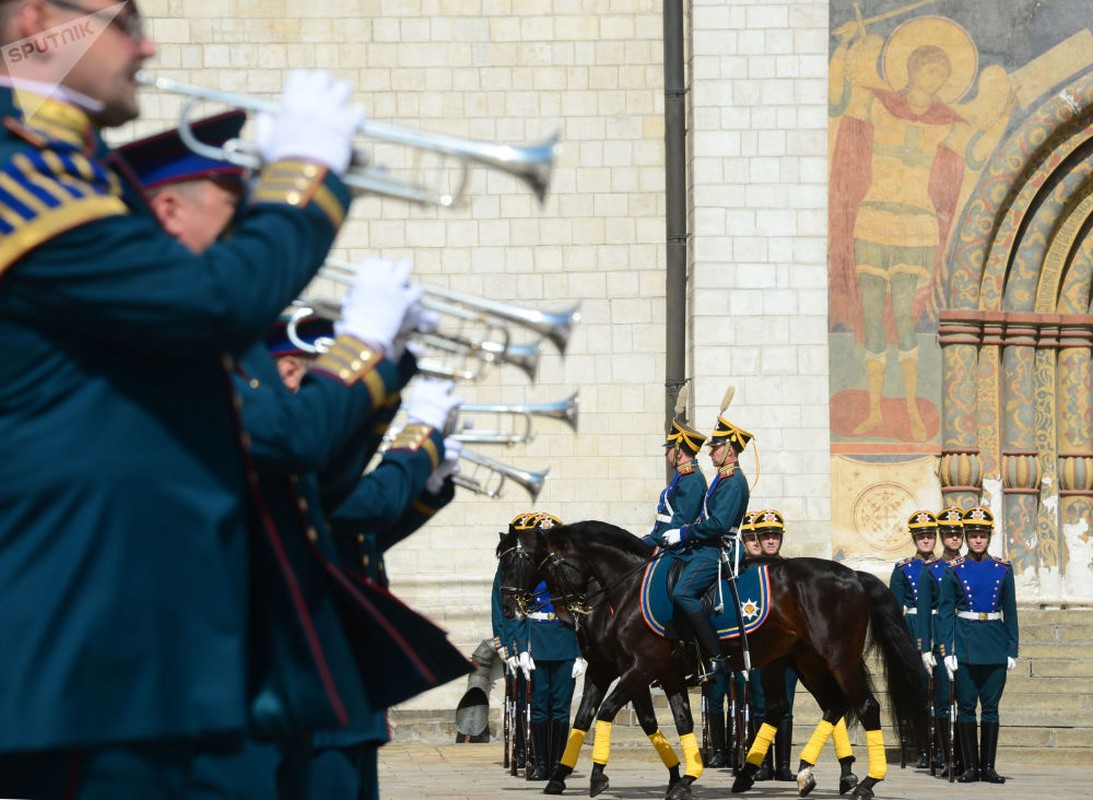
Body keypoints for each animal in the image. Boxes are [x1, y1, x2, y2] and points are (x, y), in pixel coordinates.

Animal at [500, 518, 926, 800]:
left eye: (520, 562)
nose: (507, 607)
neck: (622, 590)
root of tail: (853, 574)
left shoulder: (639, 669)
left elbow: (606, 713)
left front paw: (598, 777)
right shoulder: (630, 671)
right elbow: (628, 719)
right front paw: (682, 777)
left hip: (836, 659)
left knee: (865, 707)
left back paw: (864, 782)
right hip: (804, 661)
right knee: (825, 706)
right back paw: (799, 773)